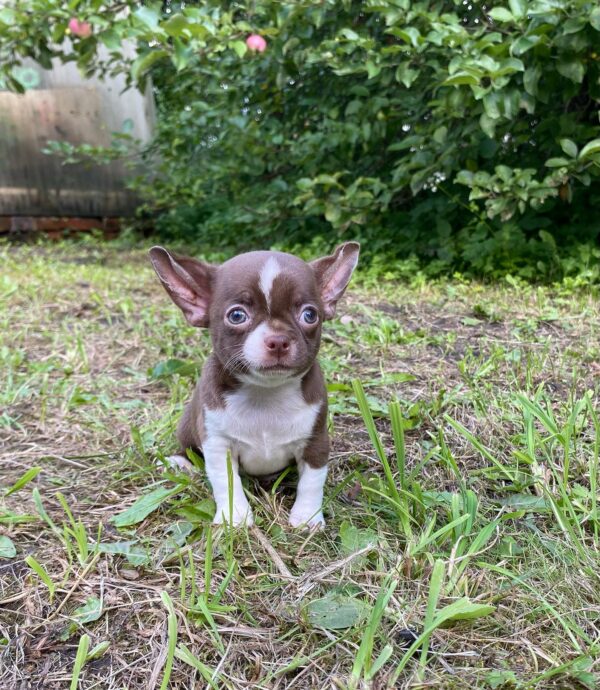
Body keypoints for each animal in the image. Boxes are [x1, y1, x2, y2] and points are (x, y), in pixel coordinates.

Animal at [148, 242, 358, 528]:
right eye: (237, 316)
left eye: (309, 315)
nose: (278, 340)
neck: (266, 393)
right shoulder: (218, 444)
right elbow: (227, 482)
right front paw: (234, 517)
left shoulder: (315, 440)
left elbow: (312, 481)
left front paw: (307, 517)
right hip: (187, 426)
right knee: (186, 446)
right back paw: (180, 462)